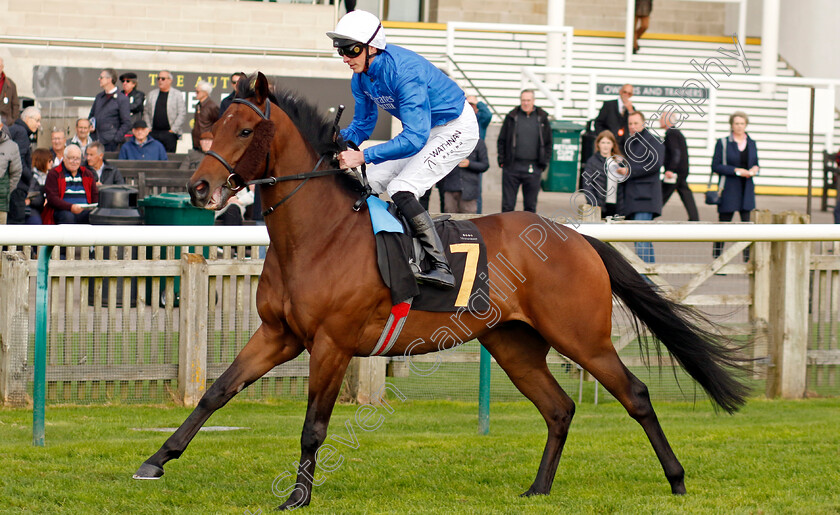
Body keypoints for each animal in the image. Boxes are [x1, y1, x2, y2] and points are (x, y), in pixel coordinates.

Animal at [133, 73, 748, 512]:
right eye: (210, 126)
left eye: (243, 131)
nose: (199, 188)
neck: (317, 234)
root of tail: (576, 236)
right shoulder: (278, 334)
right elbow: (216, 393)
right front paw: (156, 461)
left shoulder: (331, 343)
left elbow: (313, 426)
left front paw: (297, 496)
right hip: (513, 343)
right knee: (559, 408)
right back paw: (538, 489)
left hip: (582, 336)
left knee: (635, 395)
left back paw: (677, 480)